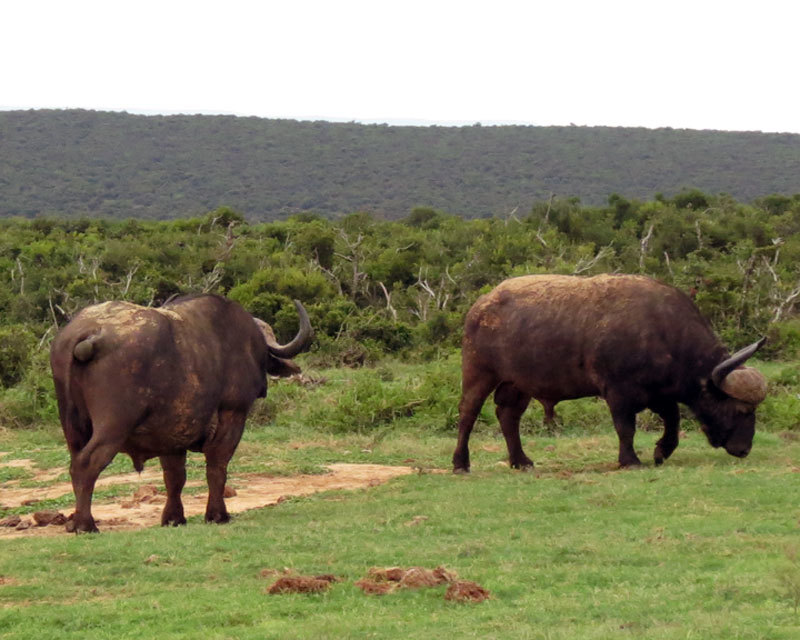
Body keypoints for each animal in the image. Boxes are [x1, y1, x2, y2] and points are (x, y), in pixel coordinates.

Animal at [50, 294, 312, 528]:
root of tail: (91, 334)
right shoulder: (232, 416)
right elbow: (217, 467)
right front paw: (217, 514)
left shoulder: (170, 435)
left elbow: (174, 477)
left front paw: (174, 518)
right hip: (113, 427)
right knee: (87, 463)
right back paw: (86, 524)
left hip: (72, 428)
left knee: (75, 464)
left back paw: (75, 521)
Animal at [450, 272, 768, 472]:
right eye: (741, 410)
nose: (744, 449)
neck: (665, 333)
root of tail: (481, 306)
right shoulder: (618, 392)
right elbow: (625, 428)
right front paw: (630, 460)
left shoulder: (659, 392)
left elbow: (673, 421)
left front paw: (662, 451)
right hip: (479, 373)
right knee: (468, 414)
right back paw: (460, 463)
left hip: (518, 384)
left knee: (508, 416)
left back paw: (521, 461)